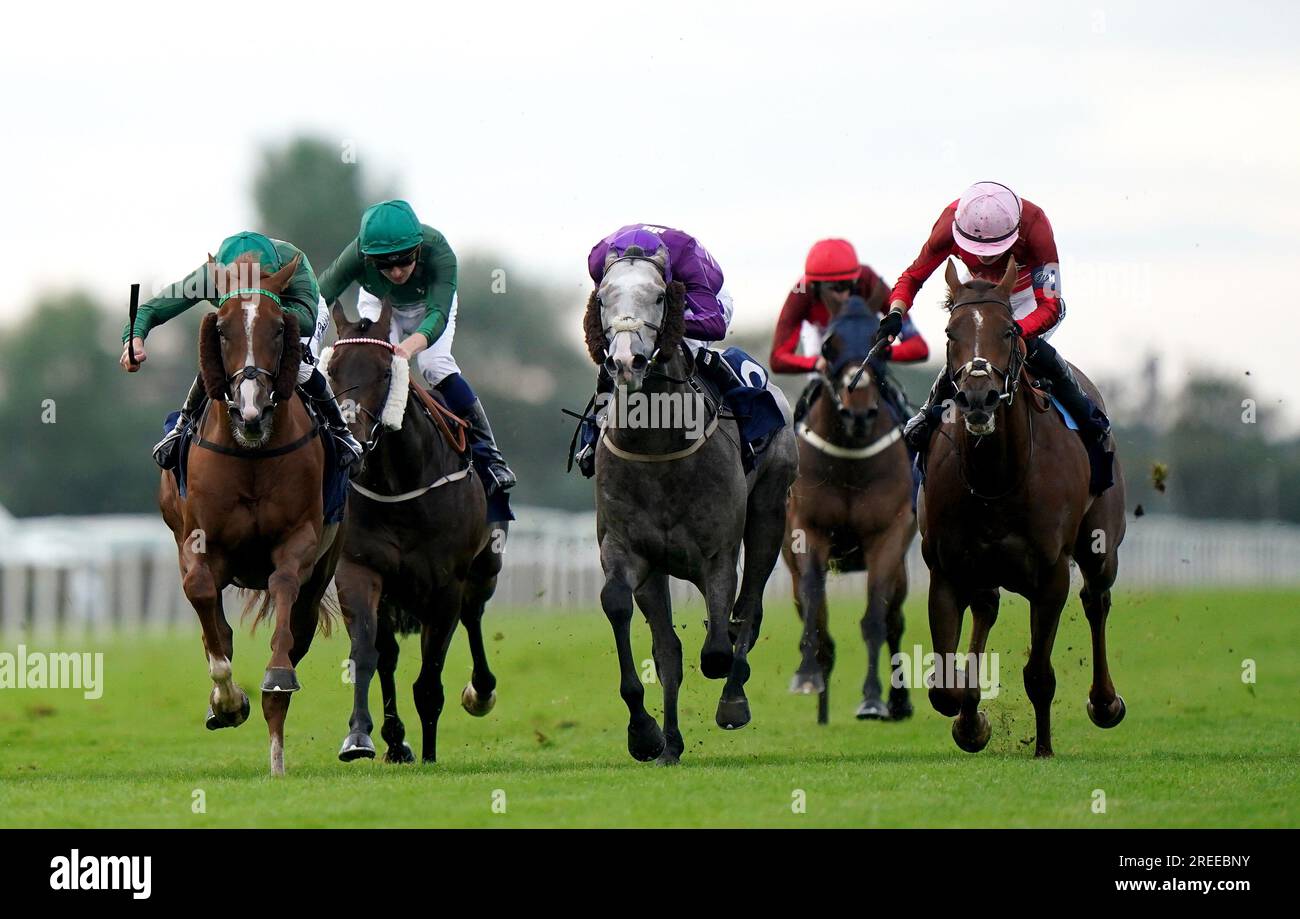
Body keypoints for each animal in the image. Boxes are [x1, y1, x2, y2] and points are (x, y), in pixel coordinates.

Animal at [157, 252, 343, 774]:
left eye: (279, 329)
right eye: (220, 329)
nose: (250, 409)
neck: (252, 454)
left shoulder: (301, 538)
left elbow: (284, 588)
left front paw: (273, 677)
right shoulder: (197, 541)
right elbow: (205, 606)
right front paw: (226, 701)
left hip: (324, 567)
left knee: (295, 630)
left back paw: (277, 755)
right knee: (216, 626)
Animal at [322, 304, 504, 769]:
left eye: (386, 371)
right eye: (331, 370)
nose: (352, 438)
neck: (397, 486)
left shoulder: (446, 585)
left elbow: (429, 677)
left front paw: (430, 753)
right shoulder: (359, 569)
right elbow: (367, 653)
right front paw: (362, 737)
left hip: (484, 569)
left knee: (474, 616)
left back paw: (480, 692)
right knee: (388, 655)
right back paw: (395, 740)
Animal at [582, 248, 800, 764]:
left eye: (661, 295)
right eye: (603, 298)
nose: (626, 361)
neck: (658, 444)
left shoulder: (717, 554)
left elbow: (718, 646)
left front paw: (730, 695)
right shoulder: (628, 550)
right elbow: (629, 615)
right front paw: (645, 734)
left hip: (769, 514)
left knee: (749, 611)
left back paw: (733, 697)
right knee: (672, 648)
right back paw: (671, 743)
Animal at [780, 305, 915, 727]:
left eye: (883, 346)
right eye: (828, 346)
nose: (859, 413)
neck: (850, 461)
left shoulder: (888, 534)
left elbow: (875, 617)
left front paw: (872, 699)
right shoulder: (808, 529)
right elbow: (813, 599)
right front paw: (807, 676)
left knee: (894, 620)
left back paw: (899, 701)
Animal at [920, 257, 1123, 753]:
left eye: (1010, 331)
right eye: (951, 332)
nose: (978, 397)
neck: (996, 477)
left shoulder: (1050, 575)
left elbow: (1039, 674)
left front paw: (1044, 749)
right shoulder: (946, 570)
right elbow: (945, 687)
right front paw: (971, 720)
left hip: (1101, 544)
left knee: (1097, 599)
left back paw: (1105, 702)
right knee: (987, 607)